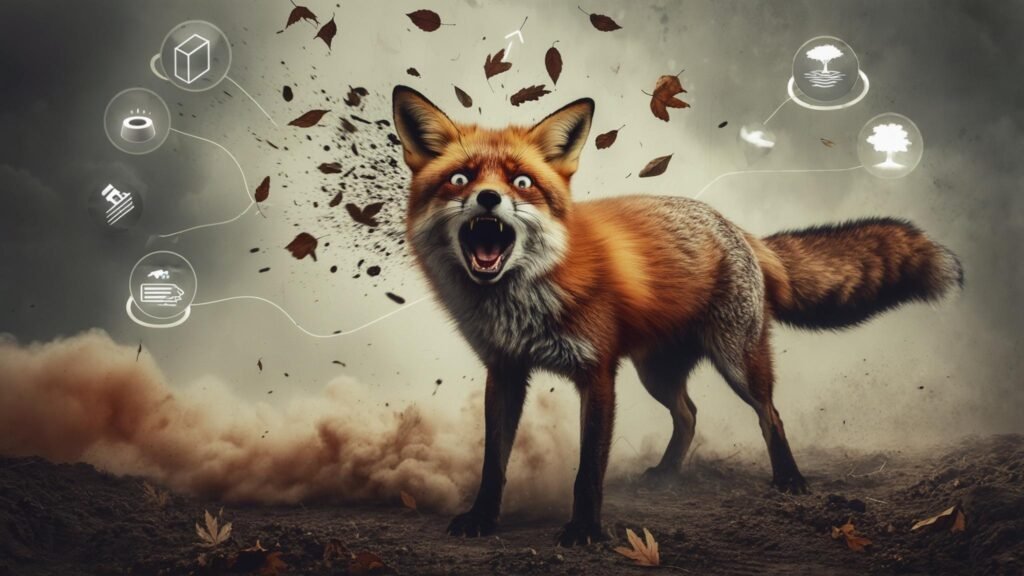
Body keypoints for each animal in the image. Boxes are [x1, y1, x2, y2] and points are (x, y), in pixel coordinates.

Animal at [391, 85, 963, 546]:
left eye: (523, 183)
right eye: (460, 179)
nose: (488, 199)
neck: (525, 296)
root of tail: (735, 226)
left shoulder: (598, 373)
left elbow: (587, 470)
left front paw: (584, 531)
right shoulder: (505, 370)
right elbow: (493, 462)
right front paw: (482, 519)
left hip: (737, 362)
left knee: (770, 415)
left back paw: (790, 481)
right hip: (656, 372)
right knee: (688, 414)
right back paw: (667, 474)